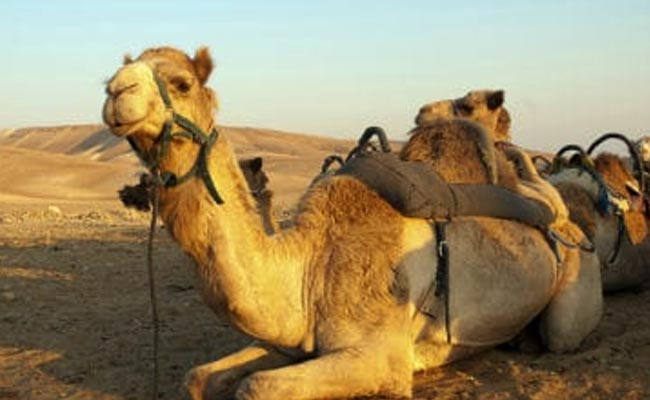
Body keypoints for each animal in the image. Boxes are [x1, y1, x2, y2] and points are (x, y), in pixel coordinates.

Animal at [102, 46, 602, 400]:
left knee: (561, 333)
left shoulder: (379, 358)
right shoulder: (290, 339)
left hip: (576, 279)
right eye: (117, 73)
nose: (115, 90)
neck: (309, 265)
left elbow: (256, 386)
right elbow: (198, 378)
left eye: (181, 82)